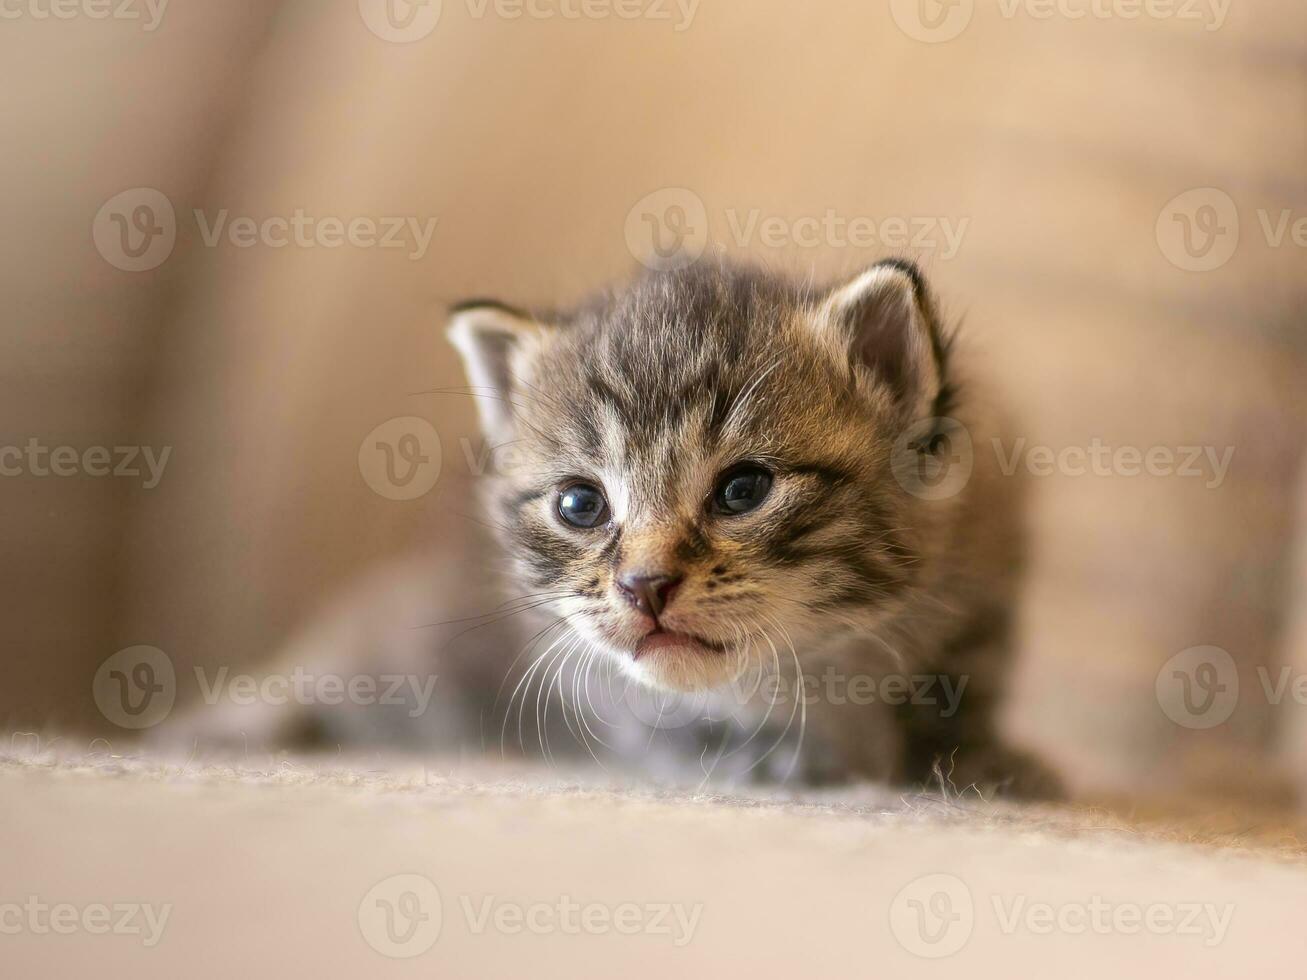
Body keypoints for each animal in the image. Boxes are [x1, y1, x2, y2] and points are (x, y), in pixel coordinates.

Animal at [449, 261, 1061, 799]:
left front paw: (971, 760)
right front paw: (769, 757)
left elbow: (963, 678)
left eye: (742, 489)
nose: (645, 586)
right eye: (580, 504)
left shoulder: (984, 554)